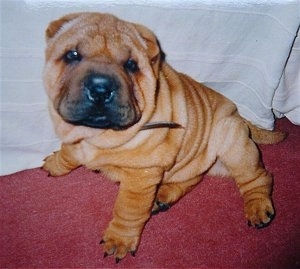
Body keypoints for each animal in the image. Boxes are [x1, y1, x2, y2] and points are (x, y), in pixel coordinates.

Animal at [42, 12, 286, 262]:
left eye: (131, 65)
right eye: (72, 55)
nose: (100, 89)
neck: (96, 133)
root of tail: (239, 115)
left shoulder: (141, 176)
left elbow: (128, 209)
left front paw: (119, 240)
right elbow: (68, 152)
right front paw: (56, 163)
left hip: (234, 144)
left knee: (258, 177)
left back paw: (258, 208)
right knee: (194, 177)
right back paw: (164, 195)